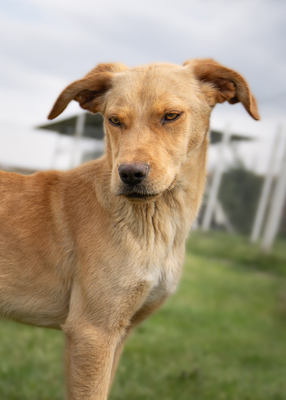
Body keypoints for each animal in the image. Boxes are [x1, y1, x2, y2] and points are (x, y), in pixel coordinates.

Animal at [0, 57, 260, 398]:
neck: (156, 225)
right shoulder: (92, 332)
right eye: (114, 120)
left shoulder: (119, 333)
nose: (130, 174)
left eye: (171, 116)